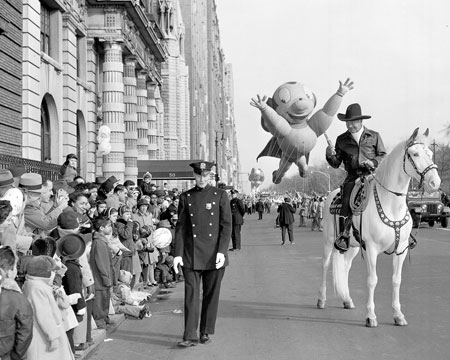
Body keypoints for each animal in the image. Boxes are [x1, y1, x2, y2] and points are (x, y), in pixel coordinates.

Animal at [318, 128, 442, 328]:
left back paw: (347, 299)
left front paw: (398, 315)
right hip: (329, 242)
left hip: (352, 247)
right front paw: (371, 316)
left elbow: (396, 280)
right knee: (325, 264)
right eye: (415, 154)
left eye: (430, 153)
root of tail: (331, 195)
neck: (391, 205)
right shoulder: (371, 249)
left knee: (345, 267)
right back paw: (321, 299)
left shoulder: (401, 249)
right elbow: (372, 280)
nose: (434, 182)